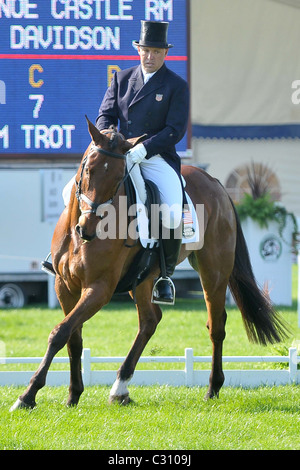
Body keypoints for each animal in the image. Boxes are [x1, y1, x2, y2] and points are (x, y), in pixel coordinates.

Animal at [11, 119, 288, 410]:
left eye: (119, 178)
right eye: (88, 169)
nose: (87, 228)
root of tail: (216, 183)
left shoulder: (99, 288)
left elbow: (60, 332)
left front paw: (27, 395)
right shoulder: (64, 285)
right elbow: (72, 338)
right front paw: (73, 394)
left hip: (213, 270)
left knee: (216, 325)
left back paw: (212, 388)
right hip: (143, 278)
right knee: (150, 321)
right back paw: (120, 388)